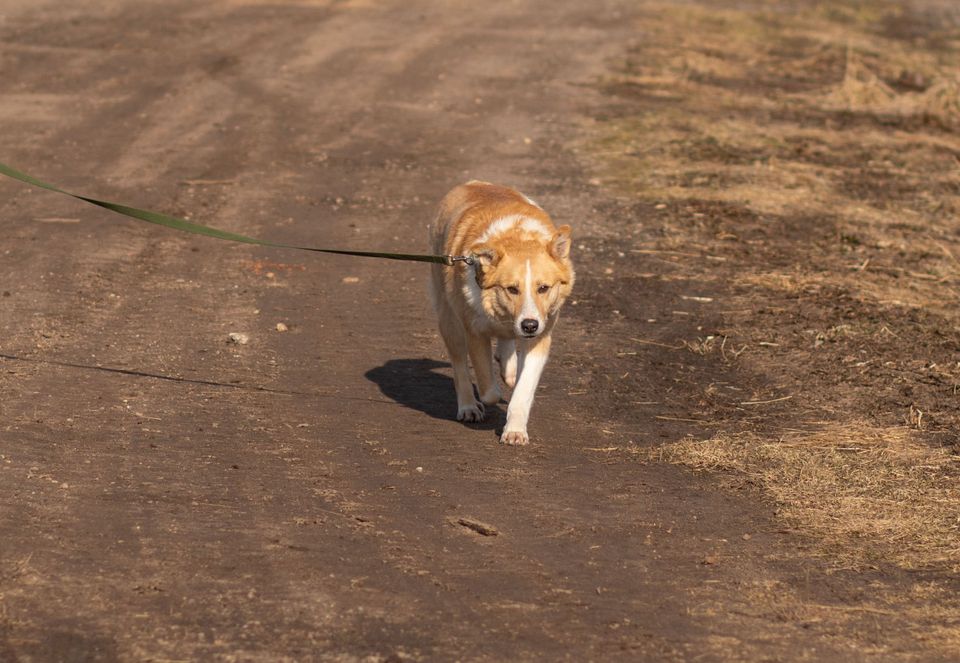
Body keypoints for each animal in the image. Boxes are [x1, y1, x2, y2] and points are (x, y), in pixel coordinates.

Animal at [432, 180, 572, 446]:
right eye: (512, 289)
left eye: (543, 288)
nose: (529, 325)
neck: (517, 237)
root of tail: (473, 183)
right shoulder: (475, 332)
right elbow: (488, 391)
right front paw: (491, 396)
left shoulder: (541, 337)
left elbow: (524, 388)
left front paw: (515, 430)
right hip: (448, 318)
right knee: (459, 365)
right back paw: (469, 406)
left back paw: (508, 368)